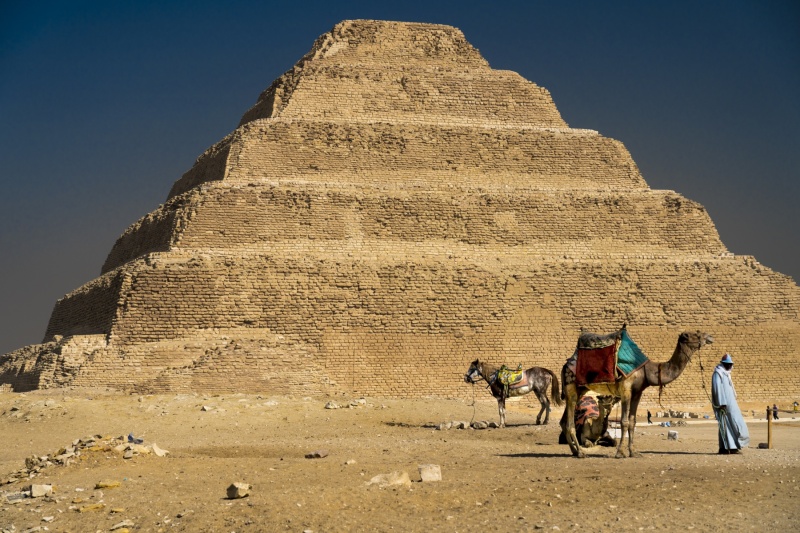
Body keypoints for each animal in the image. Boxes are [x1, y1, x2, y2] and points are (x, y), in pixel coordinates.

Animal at [560, 328, 716, 458]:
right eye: (695, 334)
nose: (710, 336)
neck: (646, 371)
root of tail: (566, 364)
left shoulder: (637, 393)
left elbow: (632, 422)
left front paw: (633, 452)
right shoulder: (626, 390)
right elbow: (624, 421)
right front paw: (620, 453)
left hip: (580, 390)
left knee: (563, 421)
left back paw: (574, 451)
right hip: (571, 387)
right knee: (569, 423)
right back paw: (581, 453)